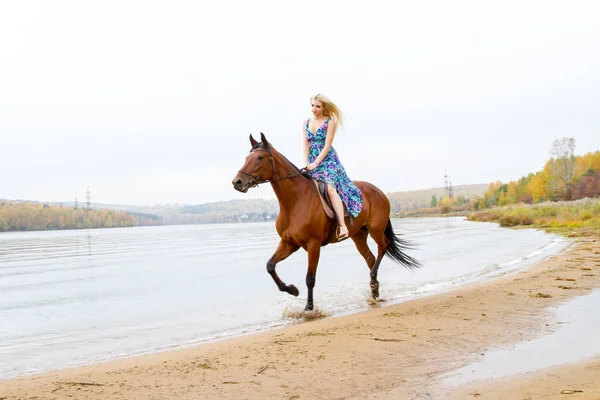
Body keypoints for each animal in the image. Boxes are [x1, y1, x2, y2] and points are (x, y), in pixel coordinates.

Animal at [232, 133, 420, 310]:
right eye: (246, 158)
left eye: (259, 157)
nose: (237, 182)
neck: (295, 201)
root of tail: (379, 192)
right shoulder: (289, 243)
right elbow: (270, 265)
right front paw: (292, 290)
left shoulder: (313, 245)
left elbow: (310, 278)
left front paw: (309, 307)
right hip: (359, 235)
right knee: (371, 258)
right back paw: (374, 291)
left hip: (376, 229)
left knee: (383, 247)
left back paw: (373, 281)